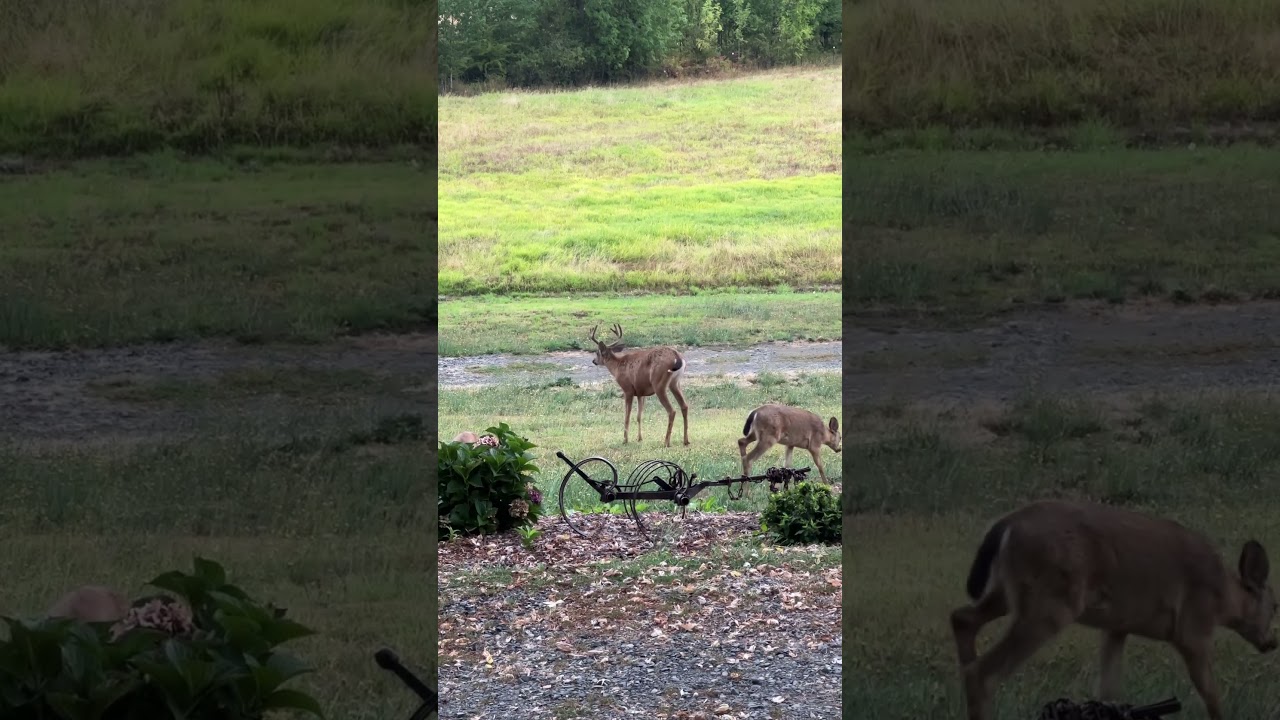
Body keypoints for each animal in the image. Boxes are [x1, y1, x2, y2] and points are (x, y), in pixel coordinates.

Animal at [950, 499, 1278, 720]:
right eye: (1275, 606)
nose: (1271, 643)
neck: (1225, 595)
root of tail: (1007, 525)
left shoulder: (1117, 626)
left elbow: (1107, 690)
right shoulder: (1194, 628)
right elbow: (1211, 693)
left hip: (1007, 591)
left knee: (962, 619)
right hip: (1051, 602)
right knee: (982, 673)